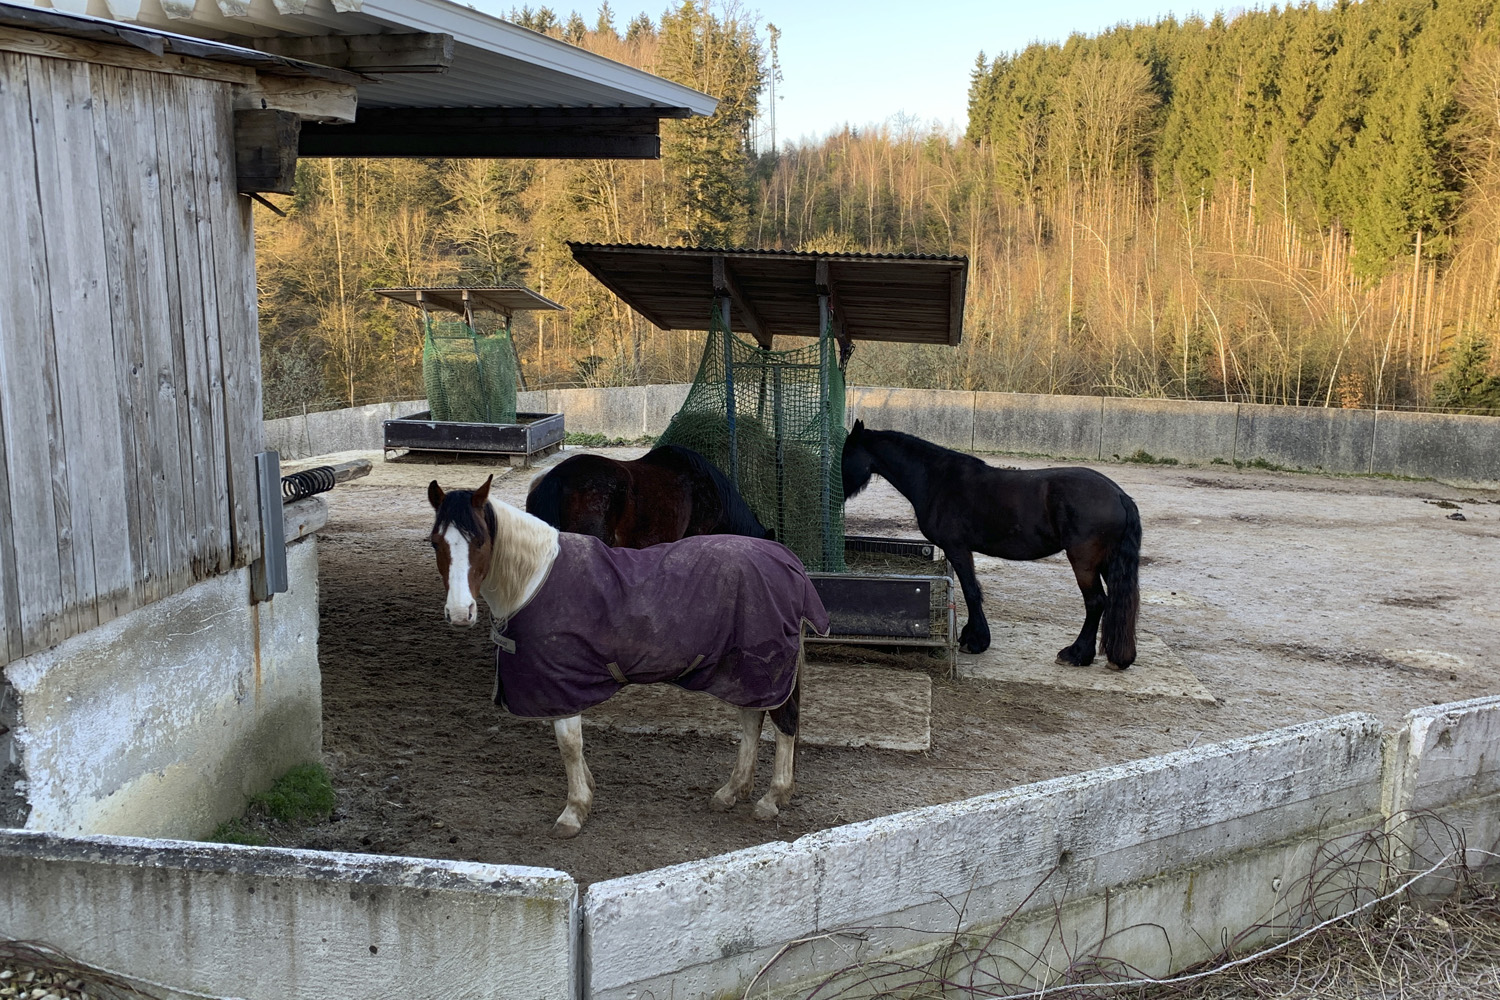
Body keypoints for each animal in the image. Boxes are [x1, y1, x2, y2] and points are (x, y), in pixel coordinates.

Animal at [428, 475, 828, 838]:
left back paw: (772, 798)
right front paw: (587, 790)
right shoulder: (557, 686)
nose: (460, 613)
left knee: (784, 724)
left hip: (768, 667)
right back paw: (732, 791)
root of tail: (788, 561)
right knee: (751, 720)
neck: (535, 579)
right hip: (744, 671)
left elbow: (569, 745)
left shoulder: (562, 681)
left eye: (479, 540)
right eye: (436, 542)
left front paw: (574, 811)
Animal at [842, 420, 1141, 668]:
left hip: (1084, 562)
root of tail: (1119, 495)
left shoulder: (957, 548)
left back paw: (1076, 654)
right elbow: (972, 590)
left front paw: (975, 641)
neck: (937, 479)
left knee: (1096, 602)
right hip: (1107, 562)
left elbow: (971, 591)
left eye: (844, 455)